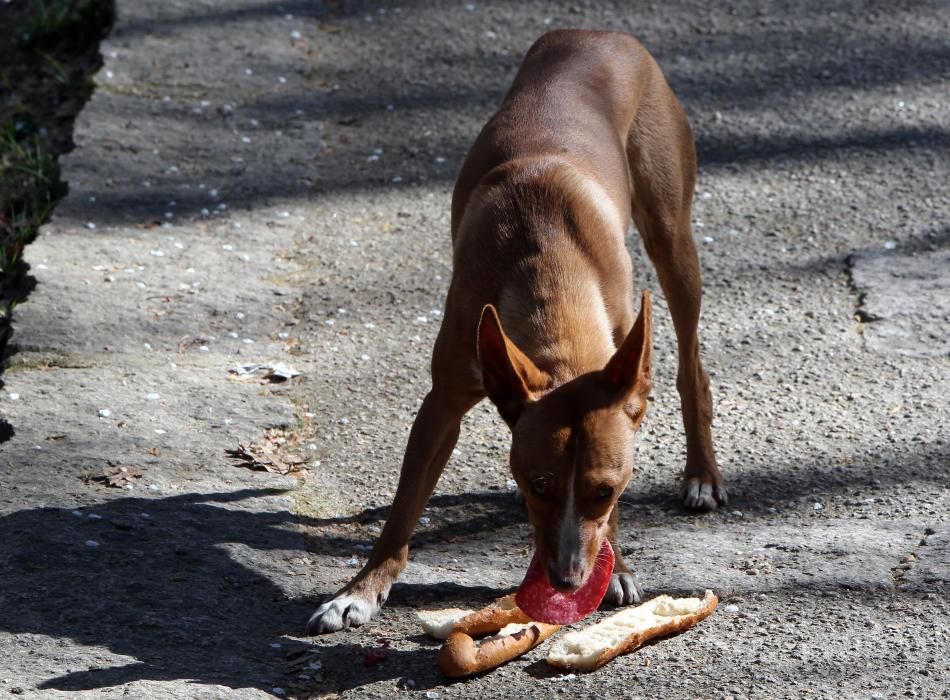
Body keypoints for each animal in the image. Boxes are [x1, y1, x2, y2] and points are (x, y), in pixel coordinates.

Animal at [308, 30, 724, 636]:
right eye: (537, 484)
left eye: (607, 490)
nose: (569, 582)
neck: (545, 254)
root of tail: (598, 34)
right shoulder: (442, 403)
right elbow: (404, 509)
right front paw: (359, 592)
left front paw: (619, 566)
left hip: (673, 239)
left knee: (692, 366)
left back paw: (701, 474)